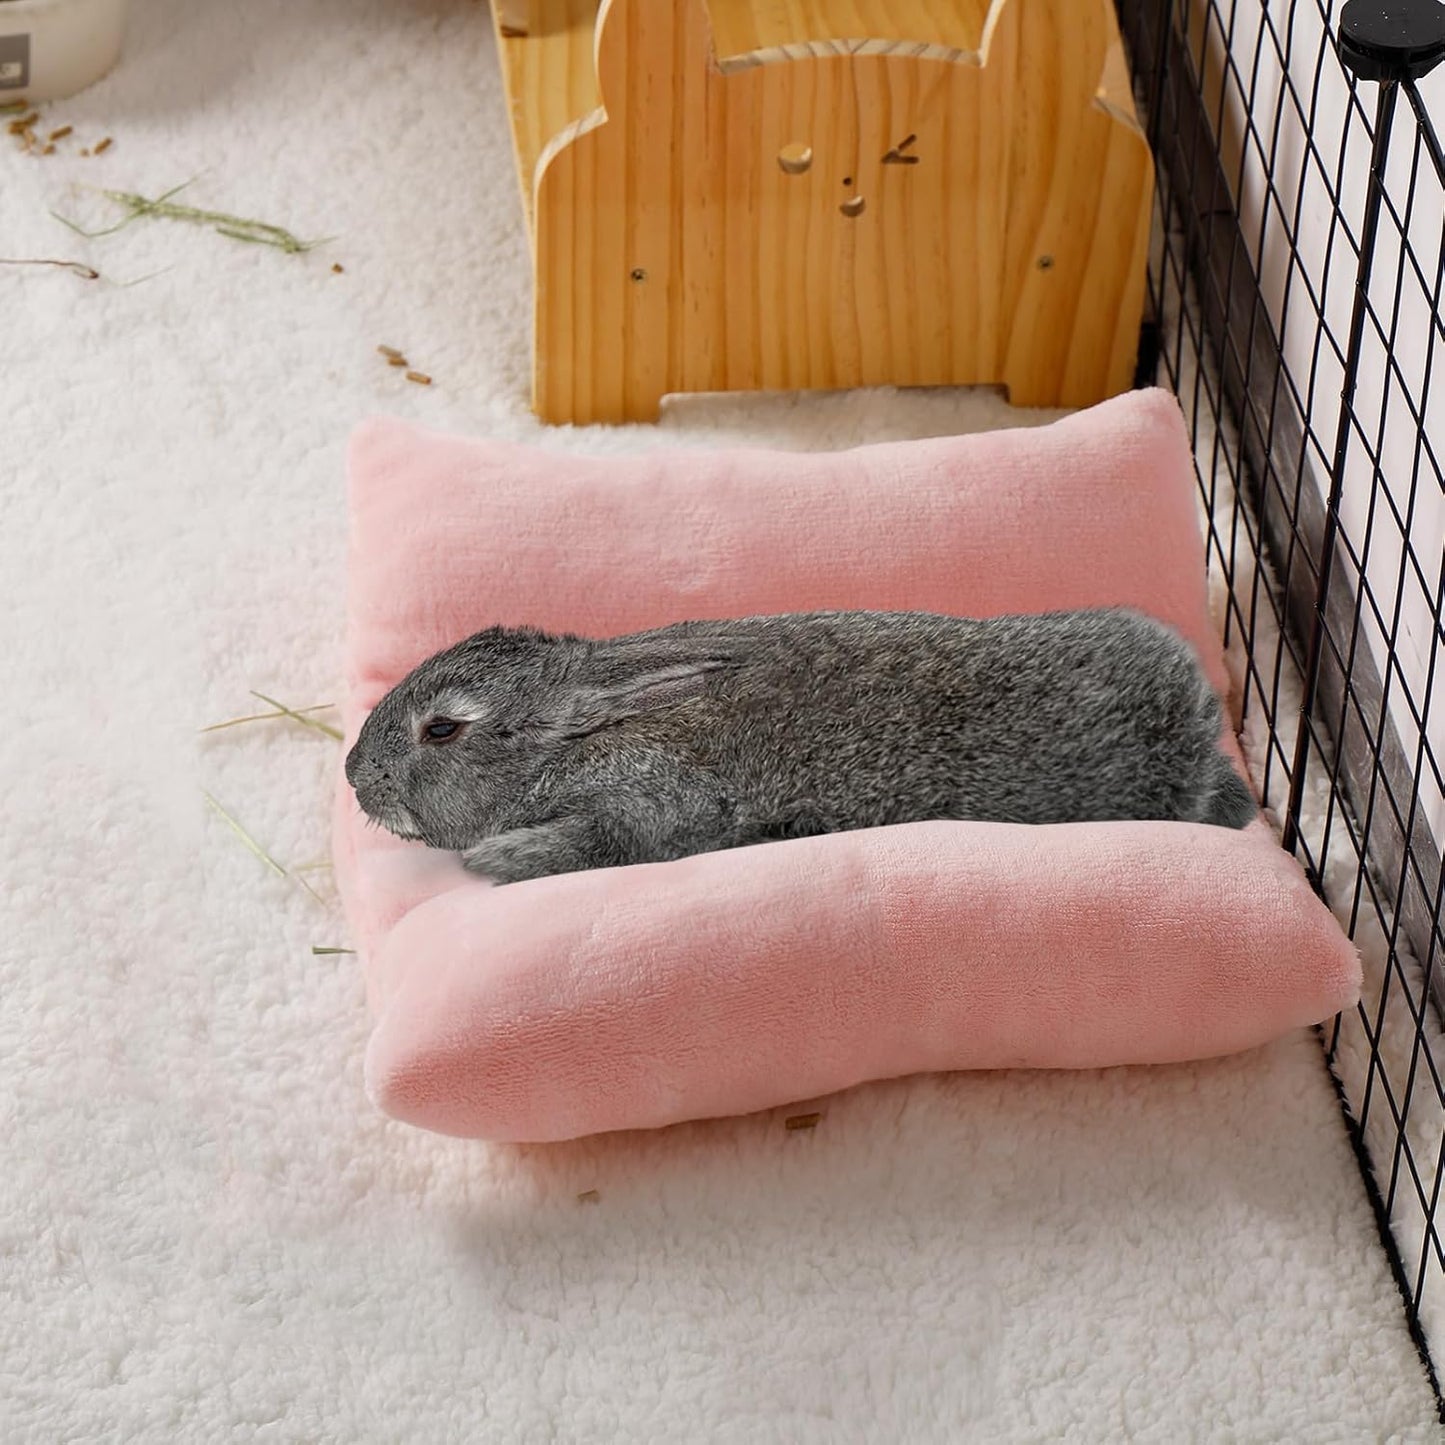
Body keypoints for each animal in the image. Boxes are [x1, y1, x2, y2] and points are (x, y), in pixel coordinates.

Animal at [344, 606, 1257, 885]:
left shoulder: (660, 801)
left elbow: (605, 838)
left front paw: (498, 858)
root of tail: (1193, 734)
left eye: (442, 729)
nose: (354, 776)